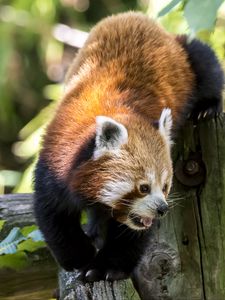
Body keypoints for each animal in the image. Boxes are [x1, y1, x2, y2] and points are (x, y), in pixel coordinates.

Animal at [34, 12, 224, 282]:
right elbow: (54, 215)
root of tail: (133, 15)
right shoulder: (55, 161)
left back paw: (207, 108)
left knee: (205, 61)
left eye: (165, 187)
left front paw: (105, 267)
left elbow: (131, 235)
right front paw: (79, 257)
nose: (162, 209)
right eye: (143, 187)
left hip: (187, 56)